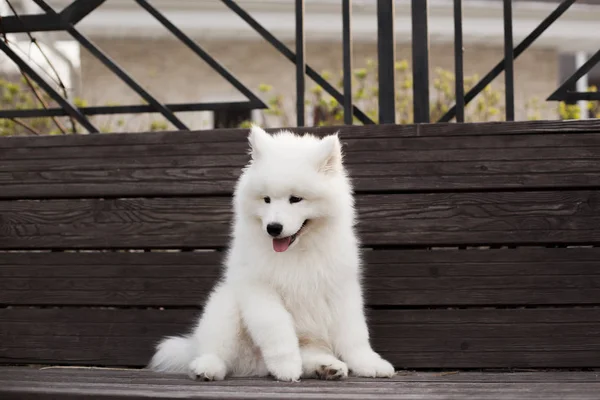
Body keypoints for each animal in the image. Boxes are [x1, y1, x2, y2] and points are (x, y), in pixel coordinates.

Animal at [148, 127, 396, 382]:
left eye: (296, 199)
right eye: (266, 199)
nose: (273, 228)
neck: (298, 251)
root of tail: (255, 364)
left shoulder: (341, 289)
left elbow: (354, 334)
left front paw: (369, 364)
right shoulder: (260, 289)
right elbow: (277, 328)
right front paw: (286, 367)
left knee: (311, 352)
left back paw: (326, 367)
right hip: (225, 304)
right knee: (216, 349)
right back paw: (207, 368)